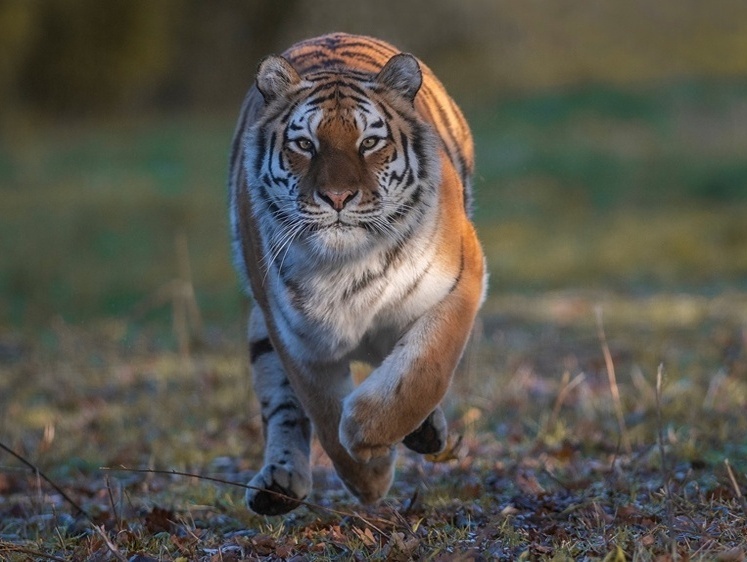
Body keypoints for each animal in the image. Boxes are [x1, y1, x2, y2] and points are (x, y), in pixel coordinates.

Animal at [228, 30, 488, 512]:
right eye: (304, 144)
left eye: (368, 143)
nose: (337, 197)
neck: (347, 264)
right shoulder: (296, 336)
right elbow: (324, 413)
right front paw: (369, 476)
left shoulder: (460, 280)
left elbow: (422, 368)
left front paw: (367, 434)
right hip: (262, 331)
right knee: (282, 408)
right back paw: (278, 485)